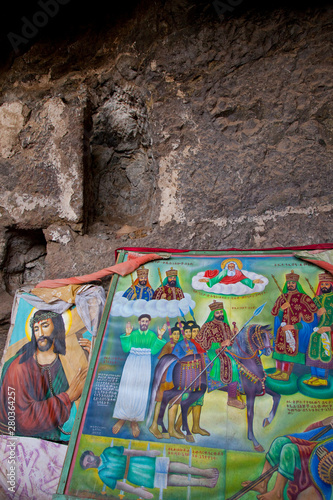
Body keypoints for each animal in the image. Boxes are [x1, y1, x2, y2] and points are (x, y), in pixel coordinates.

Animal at [147, 322, 278, 452]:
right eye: (262, 336)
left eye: (270, 337)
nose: (268, 351)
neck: (247, 362)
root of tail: (178, 361)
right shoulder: (251, 392)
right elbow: (251, 415)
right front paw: (255, 442)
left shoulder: (260, 387)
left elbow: (277, 396)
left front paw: (267, 420)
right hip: (187, 389)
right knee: (175, 400)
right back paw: (177, 431)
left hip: (192, 389)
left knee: (175, 400)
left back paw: (171, 430)